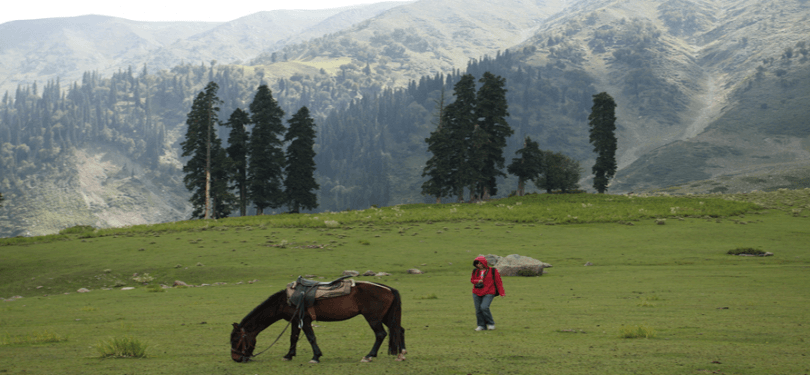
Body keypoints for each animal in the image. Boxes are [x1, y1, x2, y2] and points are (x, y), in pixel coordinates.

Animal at [227, 282, 404, 364]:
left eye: (236, 339)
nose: (236, 358)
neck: (286, 301)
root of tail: (388, 289)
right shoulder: (295, 321)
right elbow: (293, 338)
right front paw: (288, 355)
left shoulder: (305, 320)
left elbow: (311, 338)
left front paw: (315, 357)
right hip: (386, 317)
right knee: (399, 330)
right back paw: (401, 354)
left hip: (373, 318)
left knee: (381, 334)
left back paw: (368, 356)